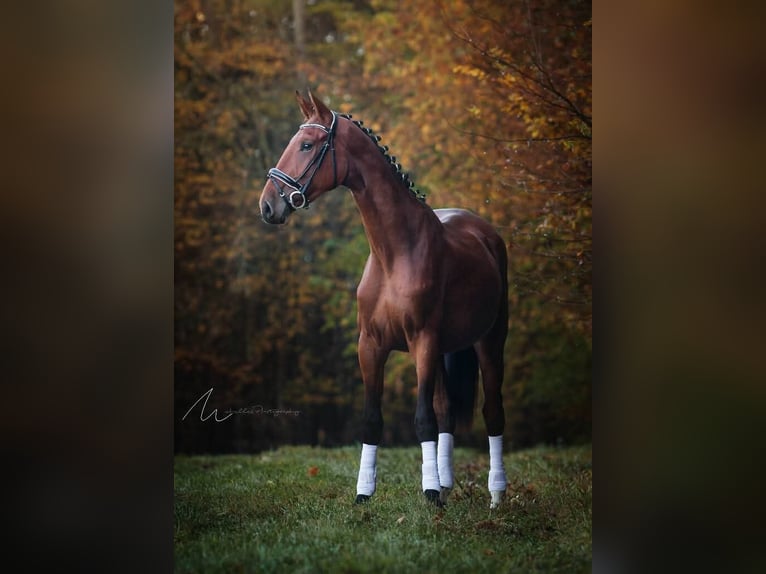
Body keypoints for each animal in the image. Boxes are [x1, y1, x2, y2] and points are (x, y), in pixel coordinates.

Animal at [260, 89, 510, 508]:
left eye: (307, 145)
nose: (267, 206)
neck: (395, 253)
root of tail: (485, 233)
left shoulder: (422, 342)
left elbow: (422, 419)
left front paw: (429, 495)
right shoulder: (371, 345)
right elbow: (373, 419)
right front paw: (365, 494)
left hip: (489, 343)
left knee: (492, 411)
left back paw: (495, 495)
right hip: (444, 350)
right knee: (446, 410)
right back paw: (447, 484)